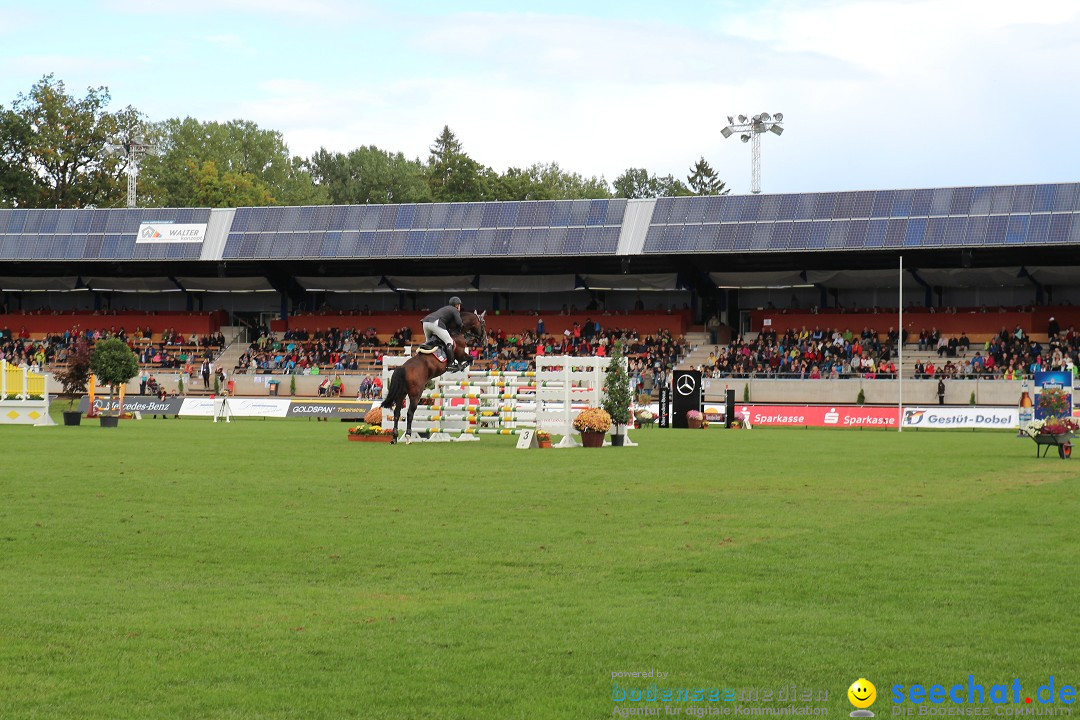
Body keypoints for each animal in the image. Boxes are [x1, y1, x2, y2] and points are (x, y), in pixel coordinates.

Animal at [378, 310, 483, 444]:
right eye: (483, 323)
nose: (483, 339)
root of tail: (403, 368)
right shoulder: (460, 353)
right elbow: (470, 358)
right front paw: (458, 366)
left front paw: (458, 366)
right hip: (416, 394)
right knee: (410, 413)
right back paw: (408, 437)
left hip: (402, 393)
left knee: (397, 412)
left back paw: (395, 437)